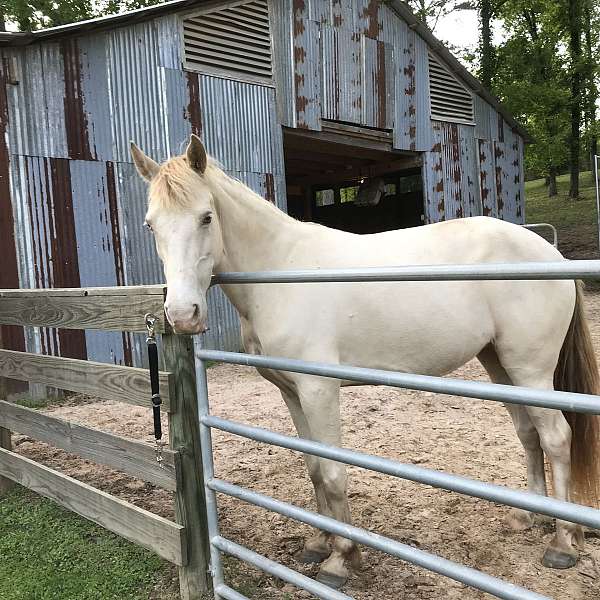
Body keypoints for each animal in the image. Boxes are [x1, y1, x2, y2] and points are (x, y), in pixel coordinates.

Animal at [134, 134, 600, 588]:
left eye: (206, 217)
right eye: (150, 224)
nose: (182, 315)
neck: (280, 272)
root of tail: (550, 254)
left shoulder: (319, 390)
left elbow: (334, 472)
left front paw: (342, 560)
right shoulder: (291, 392)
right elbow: (313, 467)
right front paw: (318, 543)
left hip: (531, 369)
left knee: (556, 437)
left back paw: (563, 543)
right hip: (500, 365)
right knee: (528, 434)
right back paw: (529, 518)